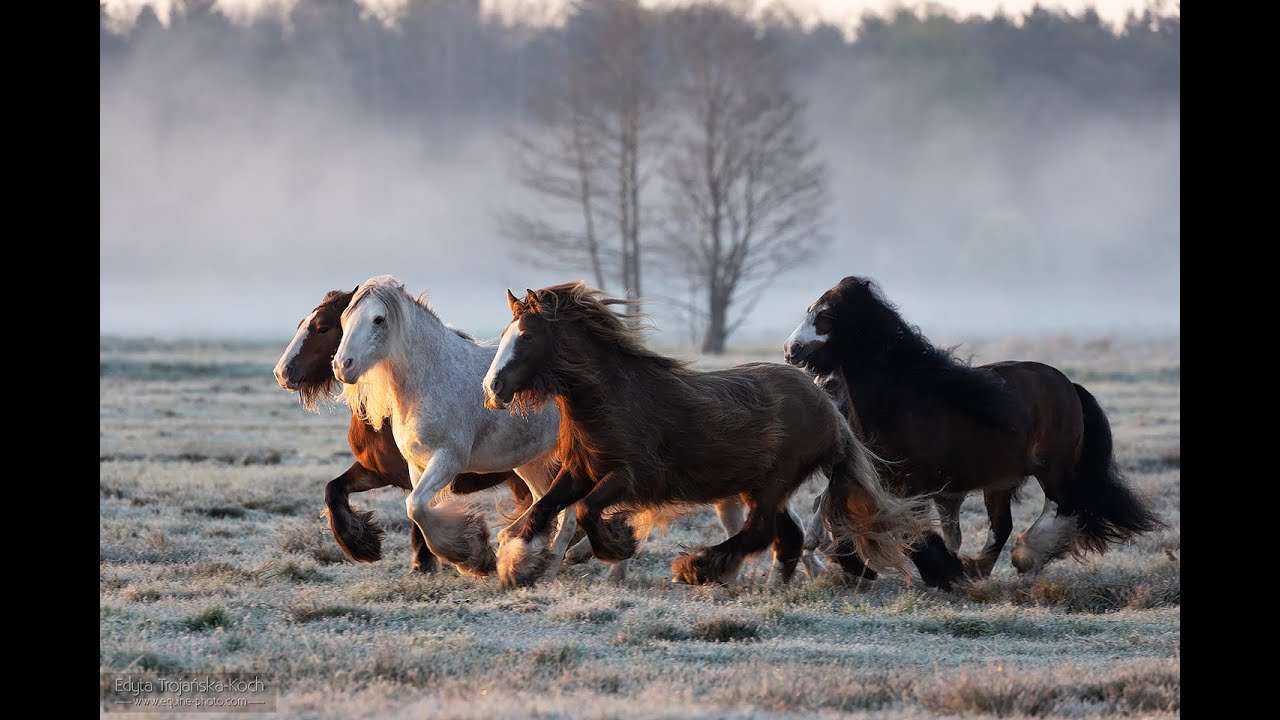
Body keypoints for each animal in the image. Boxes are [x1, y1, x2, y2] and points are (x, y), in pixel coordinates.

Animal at [273, 287, 533, 573]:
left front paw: (424, 563)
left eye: (322, 327)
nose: (282, 372)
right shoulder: (376, 471)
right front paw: (362, 544)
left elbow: (418, 516)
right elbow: (334, 489)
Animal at [480, 282, 961, 590]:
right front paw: (517, 564)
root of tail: (828, 408)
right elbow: (543, 509)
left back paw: (698, 568)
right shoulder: (579, 471)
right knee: (785, 537)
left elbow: (583, 512)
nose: (492, 388)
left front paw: (615, 546)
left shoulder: (627, 476)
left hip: (772, 483)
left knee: (762, 531)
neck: (610, 399)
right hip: (763, 485)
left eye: (526, 336)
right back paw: (771, 584)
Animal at [783, 276, 1163, 576]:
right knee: (1003, 525)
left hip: (1052, 469)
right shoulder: (874, 480)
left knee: (1061, 506)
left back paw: (1023, 557)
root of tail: (1069, 385)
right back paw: (980, 568)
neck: (902, 401)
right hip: (1000, 481)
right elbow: (839, 512)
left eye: (827, 315)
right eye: (809, 310)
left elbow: (907, 530)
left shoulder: (910, 485)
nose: (791, 349)